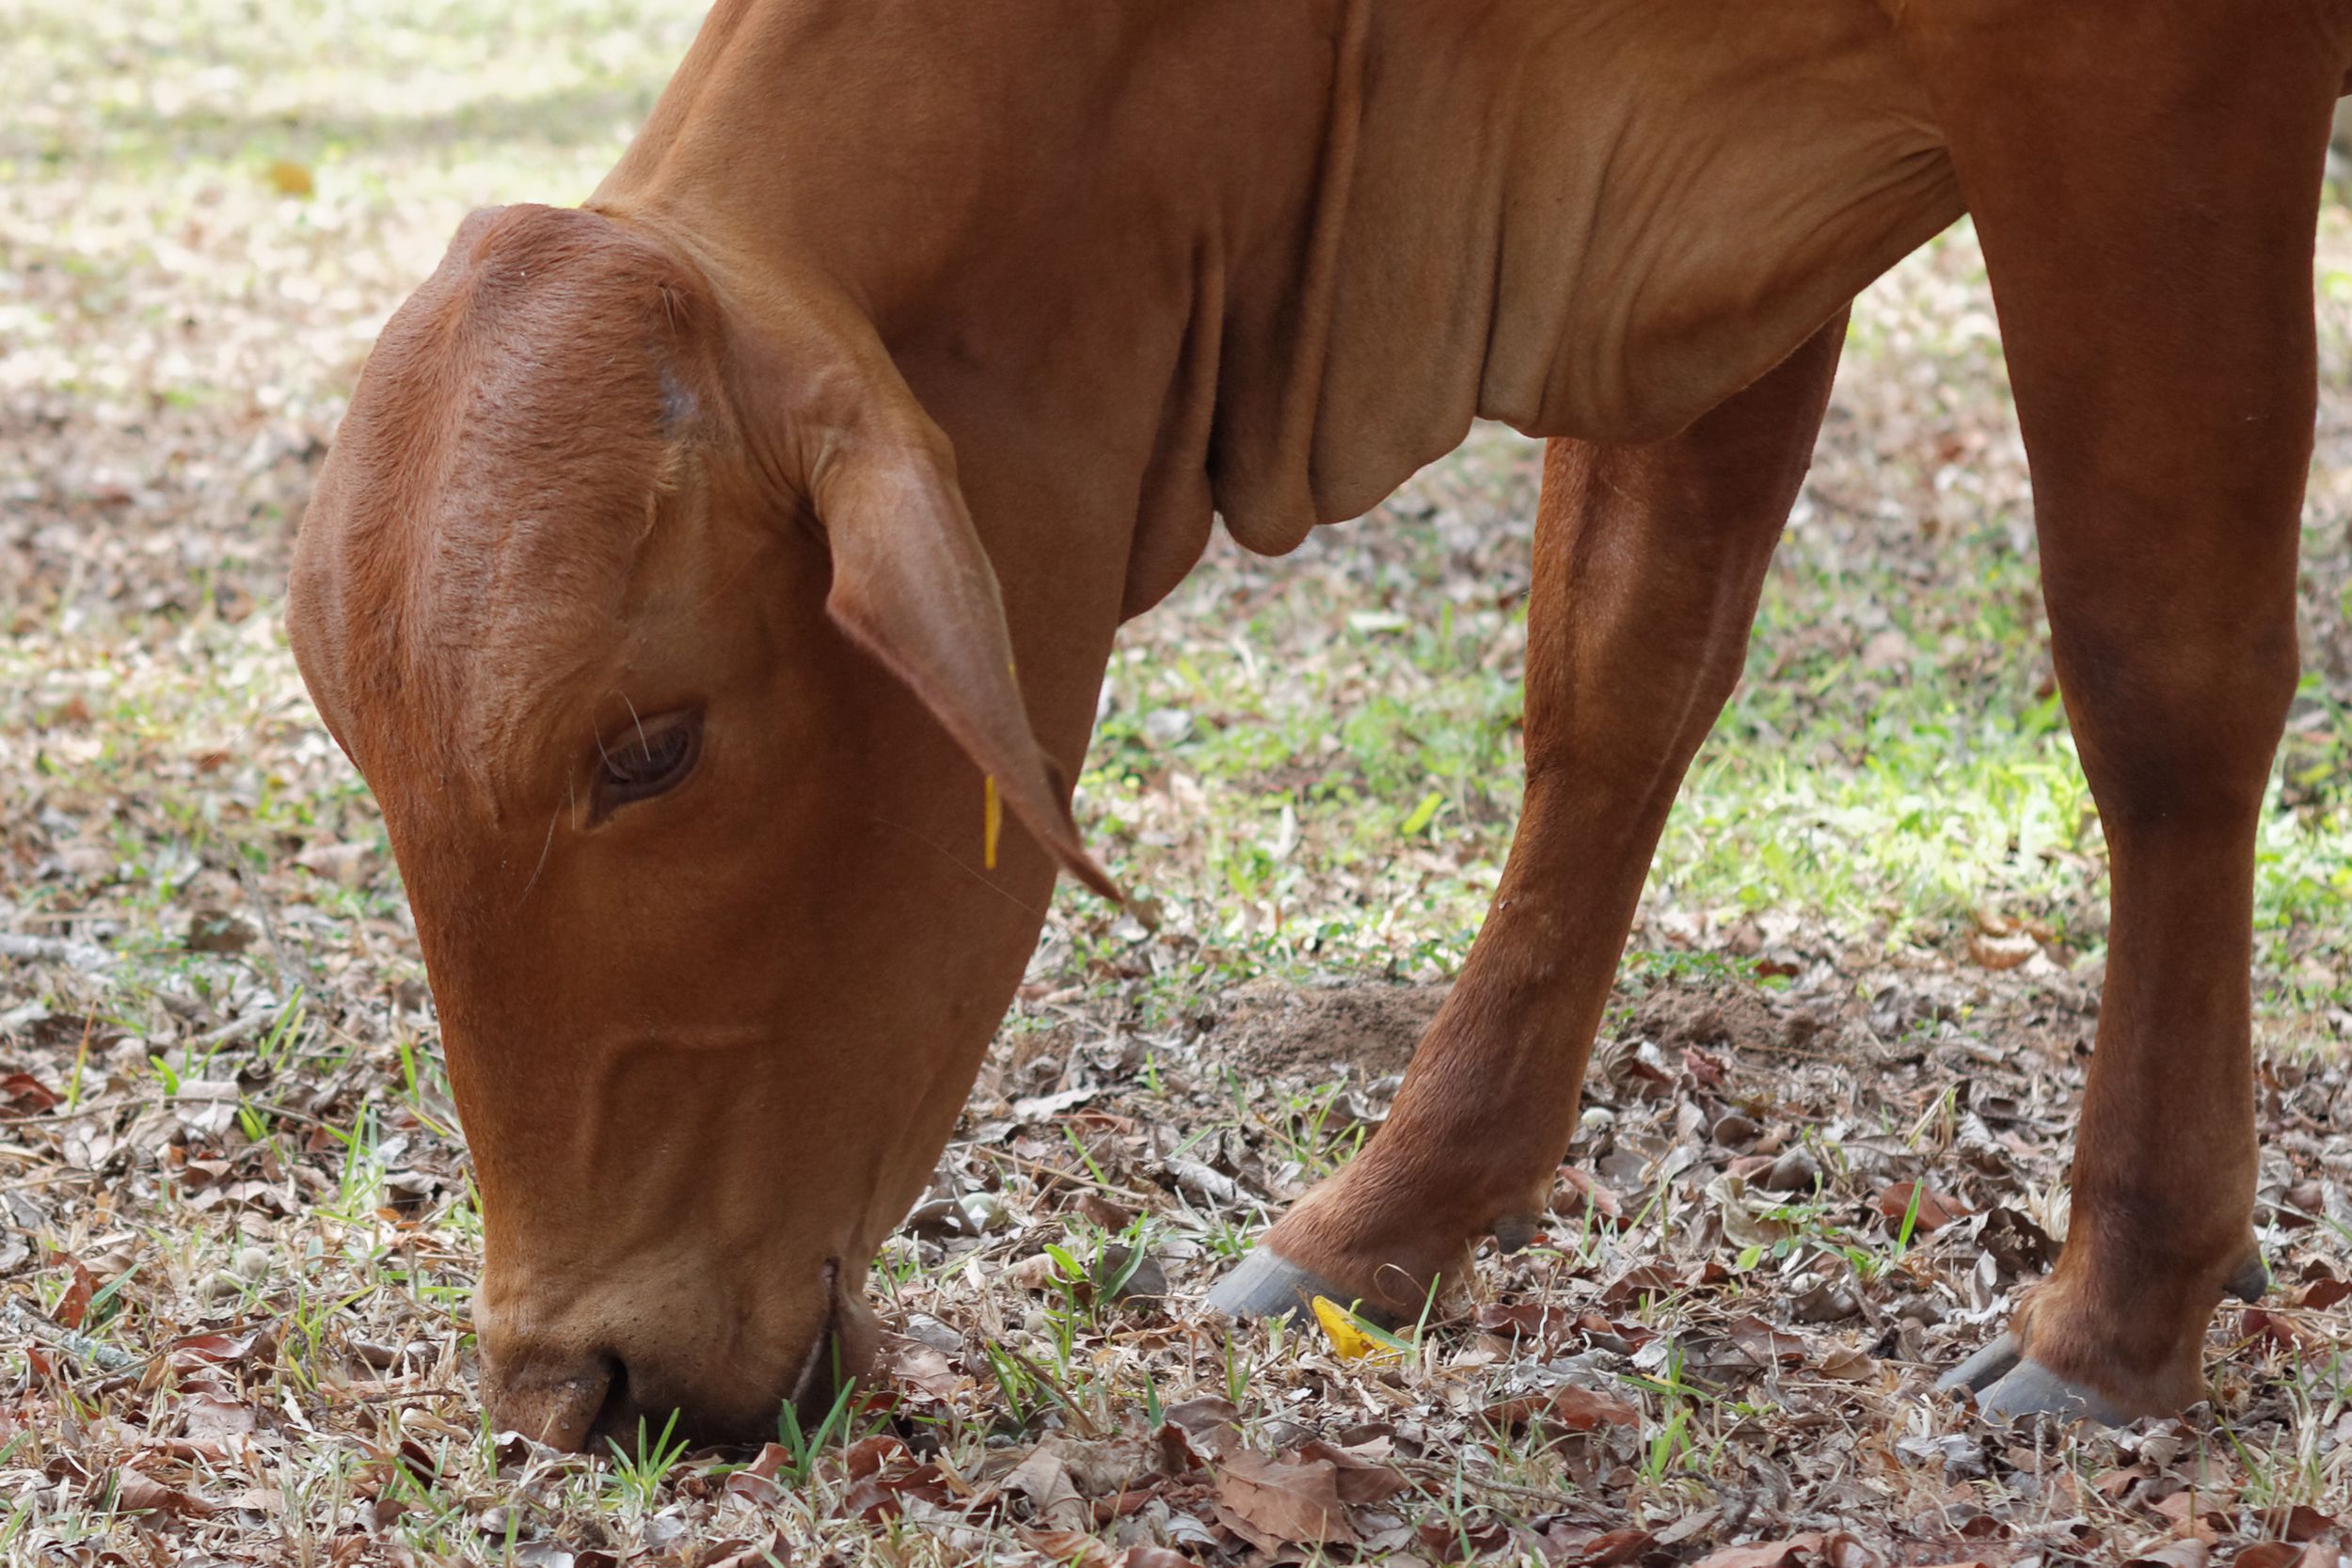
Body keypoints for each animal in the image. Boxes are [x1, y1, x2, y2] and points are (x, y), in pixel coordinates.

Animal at [286, 0, 2352, 1450]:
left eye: (649, 749)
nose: (572, 1379)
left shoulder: (2136, 86)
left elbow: (2160, 676)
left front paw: (2123, 1305)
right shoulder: (1700, 241)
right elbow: (1617, 676)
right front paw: (1394, 1212)